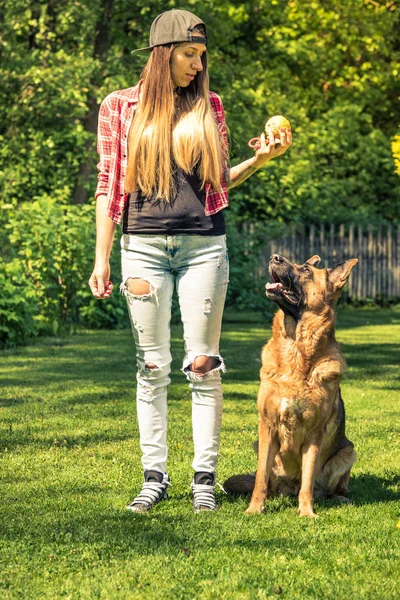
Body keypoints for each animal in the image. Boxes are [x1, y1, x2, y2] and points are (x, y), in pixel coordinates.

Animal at [223, 253, 358, 516]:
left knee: (326, 488)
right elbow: (260, 479)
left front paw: (306, 512)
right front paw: (254, 509)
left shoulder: (314, 435)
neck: (295, 350)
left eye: (306, 270)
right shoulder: (267, 427)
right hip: (260, 445)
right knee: (272, 484)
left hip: (348, 452)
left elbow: (308, 480)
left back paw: (337, 498)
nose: (275, 257)